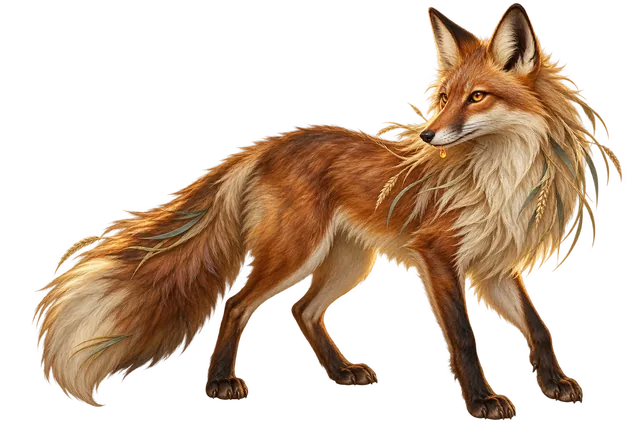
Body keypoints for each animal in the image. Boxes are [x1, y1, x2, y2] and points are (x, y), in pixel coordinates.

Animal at [31, 2, 626, 421]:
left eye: (476, 97)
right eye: (442, 99)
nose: (428, 136)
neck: (499, 174)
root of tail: (269, 145)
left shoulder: (495, 267)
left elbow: (538, 328)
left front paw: (555, 385)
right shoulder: (439, 257)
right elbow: (461, 336)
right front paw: (482, 403)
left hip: (346, 261)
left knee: (302, 310)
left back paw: (341, 373)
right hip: (296, 252)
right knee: (238, 306)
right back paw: (221, 384)